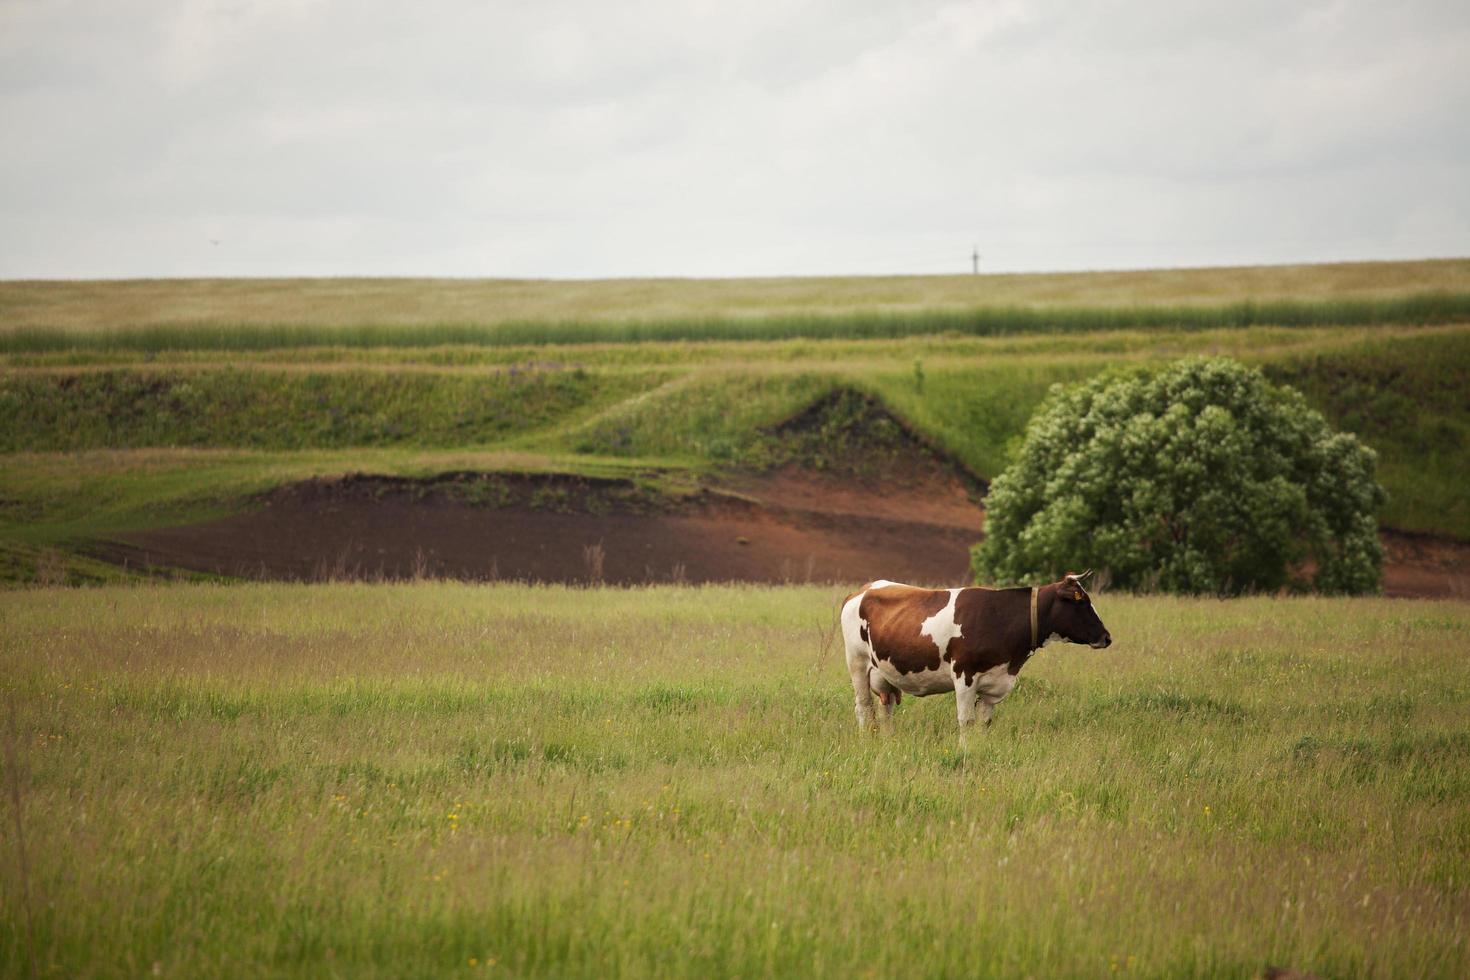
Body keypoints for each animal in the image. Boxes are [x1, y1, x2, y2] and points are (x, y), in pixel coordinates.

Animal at [846, 575, 1105, 728]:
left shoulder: (995, 685)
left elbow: (983, 723)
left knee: (885, 708)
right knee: (863, 707)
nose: (1107, 637)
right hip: (857, 664)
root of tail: (864, 588)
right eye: (1081, 602)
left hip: (884, 674)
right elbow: (966, 720)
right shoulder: (964, 676)